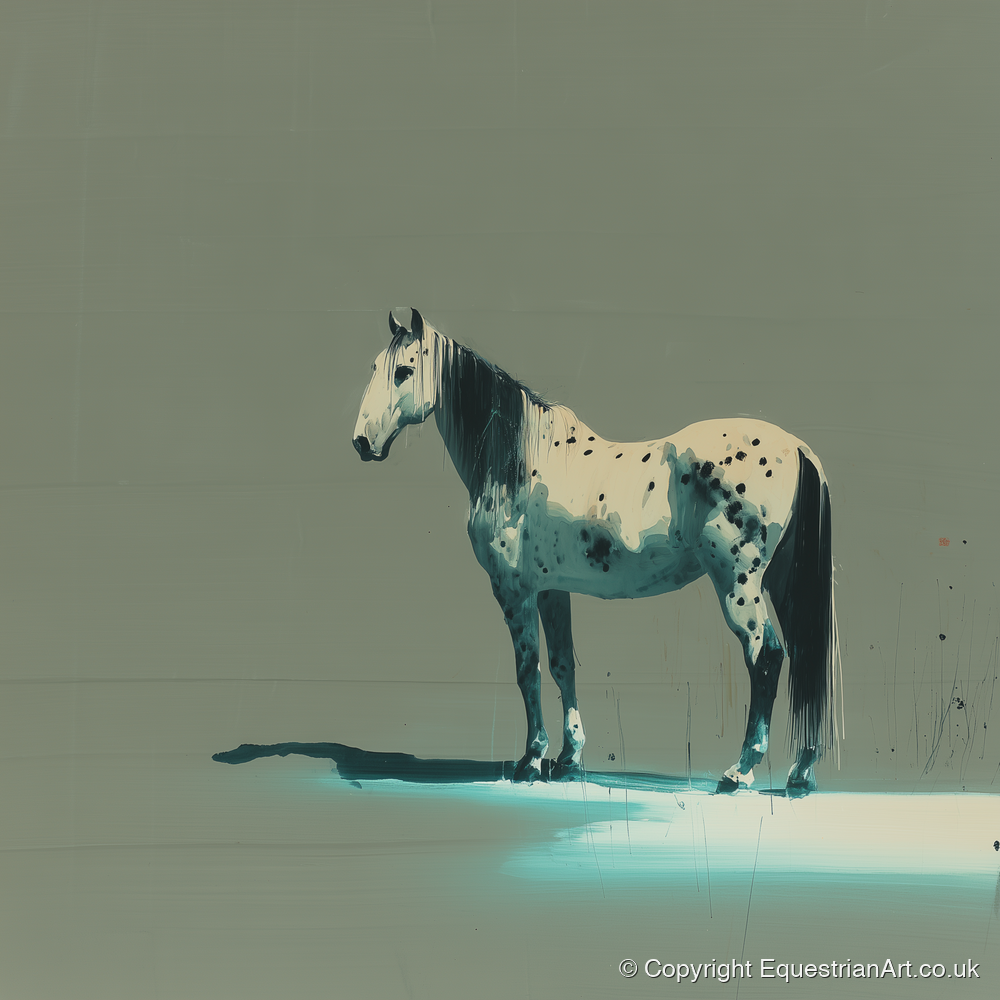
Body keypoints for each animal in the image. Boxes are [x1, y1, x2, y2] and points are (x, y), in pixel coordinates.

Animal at [353, 309, 840, 795]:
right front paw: (568, 757)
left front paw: (531, 759)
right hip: (781, 583)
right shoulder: (551, 590)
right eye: (375, 367)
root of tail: (796, 447)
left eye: (404, 371)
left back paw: (740, 770)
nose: (362, 443)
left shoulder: (513, 590)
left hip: (739, 582)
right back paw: (801, 771)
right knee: (802, 655)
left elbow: (527, 670)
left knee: (767, 656)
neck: (520, 461)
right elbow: (562, 665)